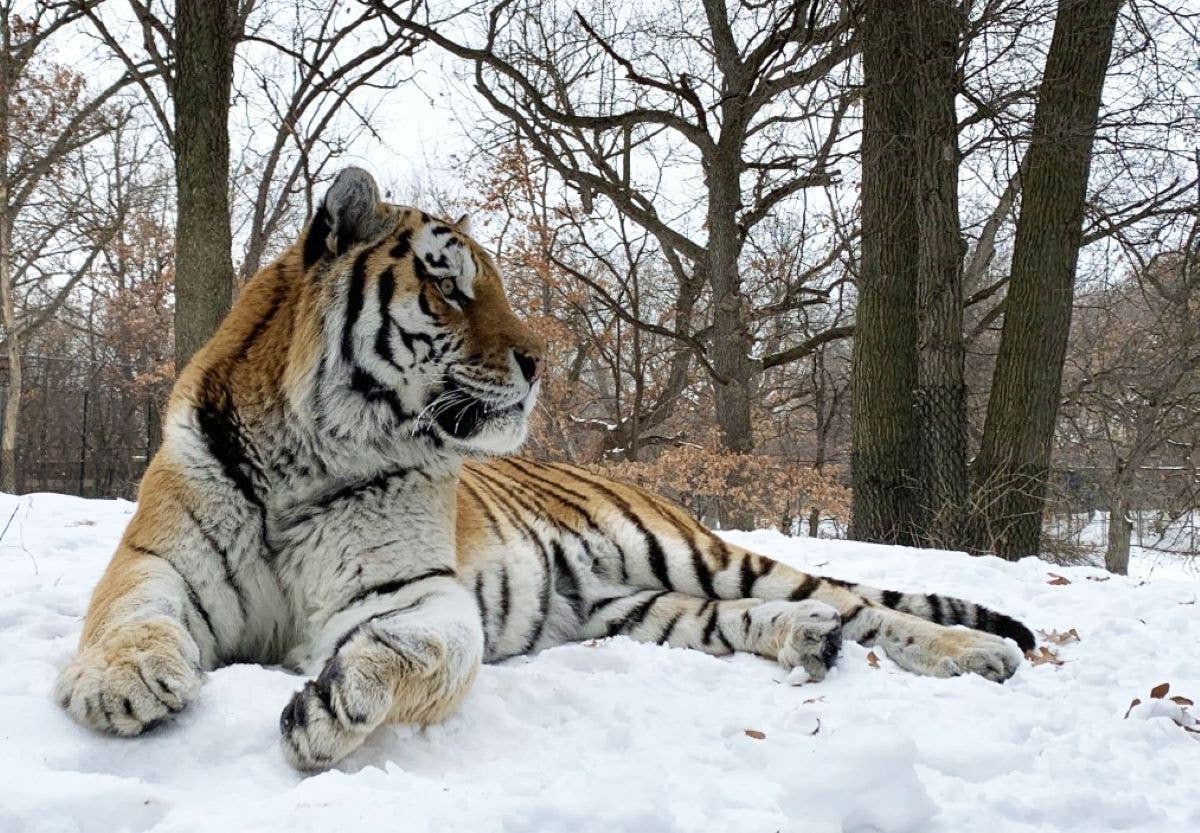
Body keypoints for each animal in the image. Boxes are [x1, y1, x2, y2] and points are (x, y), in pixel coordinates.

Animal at [55, 167, 1036, 771]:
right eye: (449, 285)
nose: (539, 360)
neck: (309, 452)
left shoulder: (412, 593)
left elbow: (415, 651)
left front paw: (336, 705)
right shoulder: (156, 558)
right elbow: (129, 618)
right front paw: (121, 685)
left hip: (696, 553)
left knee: (862, 604)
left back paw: (977, 651)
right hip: (632, 607)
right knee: (763, 617)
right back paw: (809, 640)